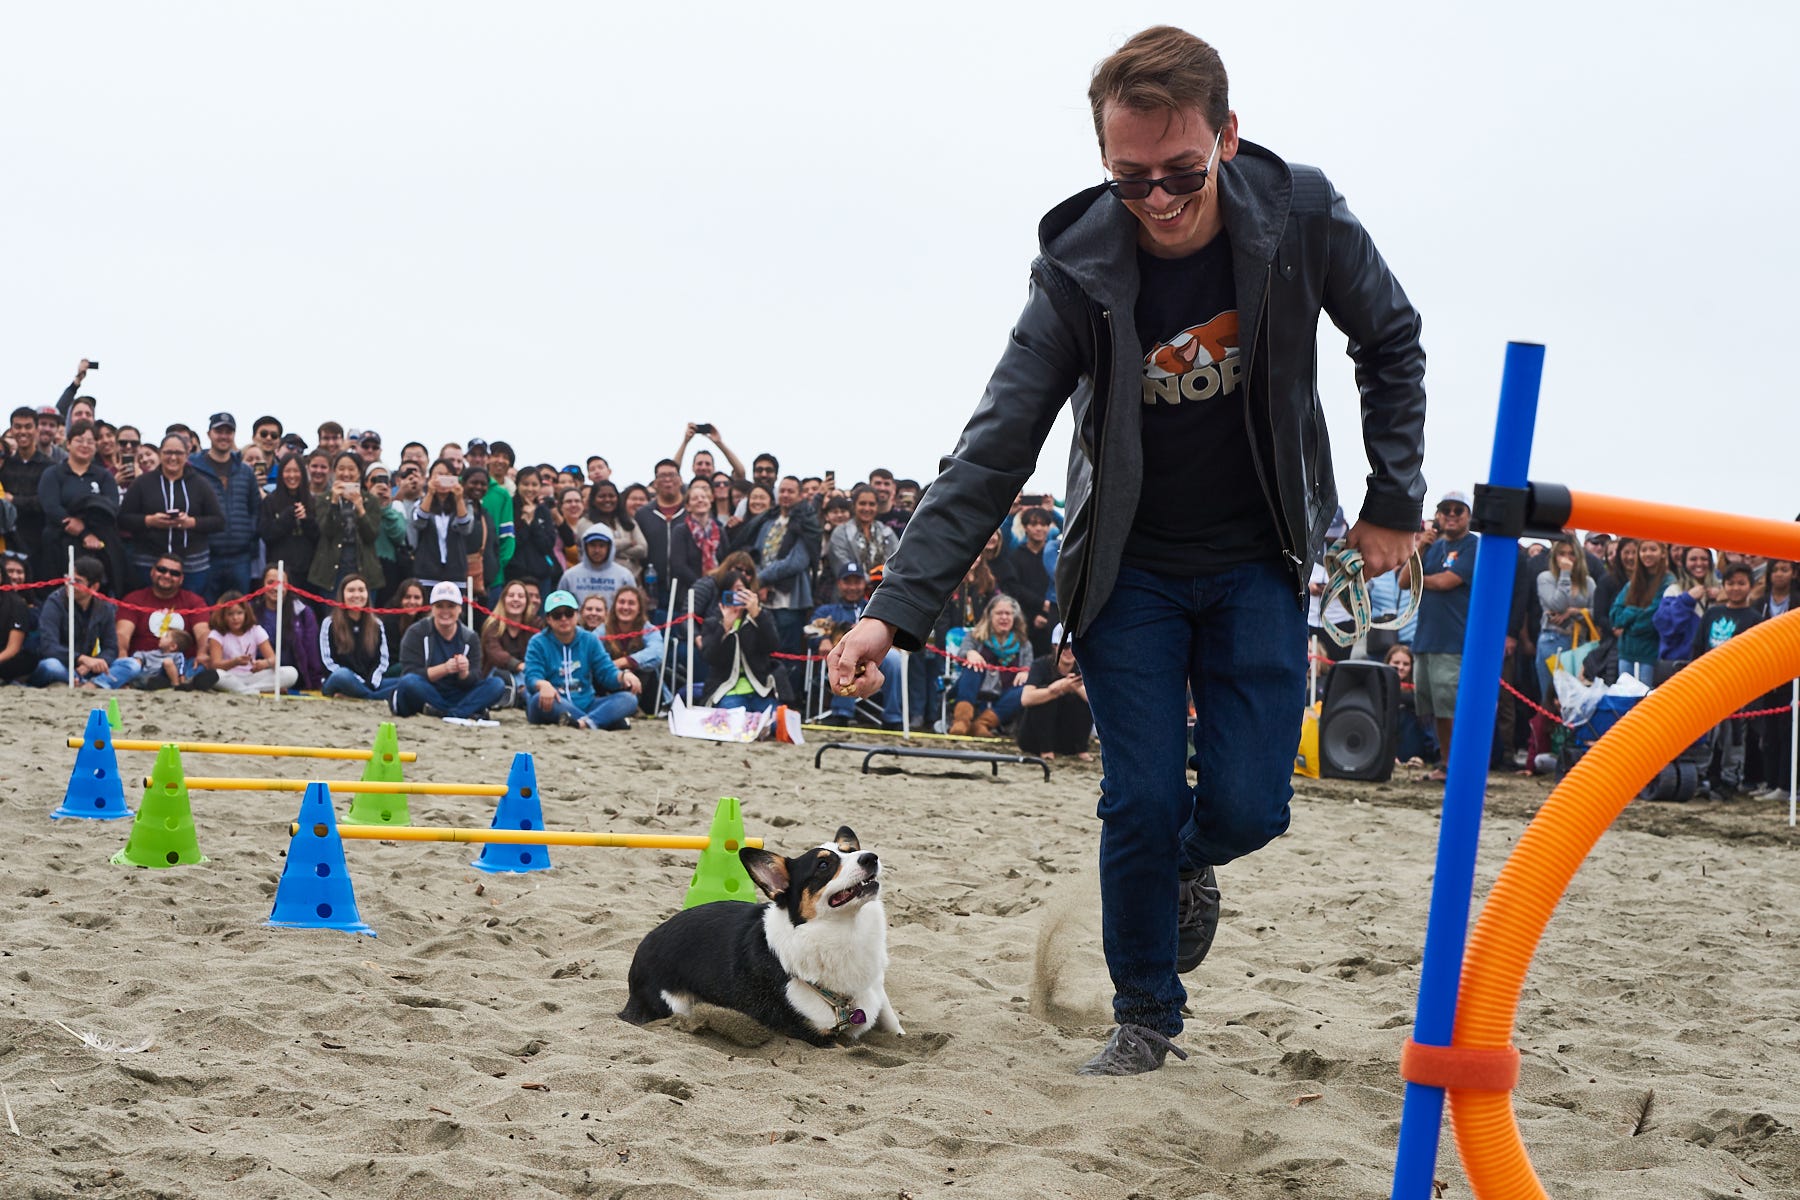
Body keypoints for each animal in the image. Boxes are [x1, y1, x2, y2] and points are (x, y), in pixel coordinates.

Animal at [618, 826, 902, 1046]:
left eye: (851, 850)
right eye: (823, 864)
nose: (870, 857)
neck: (846, 929)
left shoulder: (876, 988)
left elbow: (892, 1020)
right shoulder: (816, 1035)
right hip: (674, 1004)